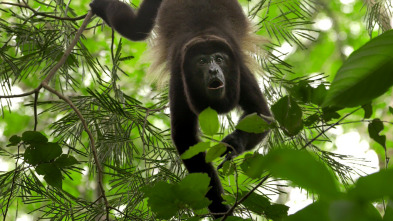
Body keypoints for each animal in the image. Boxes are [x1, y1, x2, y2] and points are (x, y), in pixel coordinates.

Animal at [90, 0, 272, 218]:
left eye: (219, 59)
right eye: (202, 61)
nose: (213, 70)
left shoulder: (240, 72)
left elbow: (262, 116)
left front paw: (233, 144)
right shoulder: (179, 74)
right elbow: (185, 137)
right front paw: (220, 209)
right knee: (137, 29)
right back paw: (103, 6)